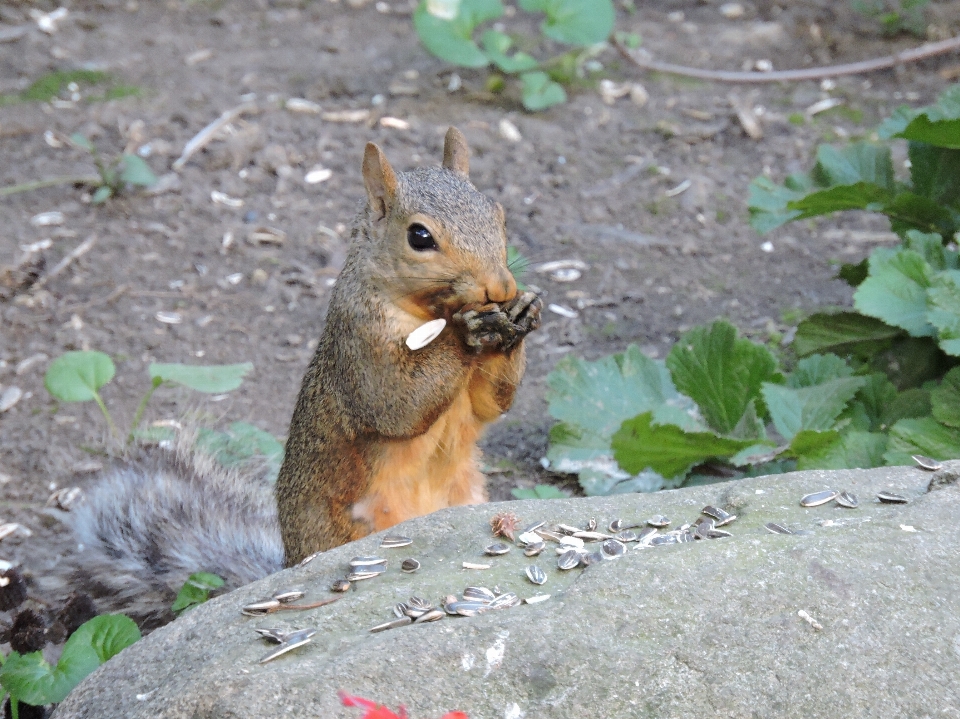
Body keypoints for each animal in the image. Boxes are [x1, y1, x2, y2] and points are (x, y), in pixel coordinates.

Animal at [58, 129, 540, 632]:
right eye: (419, 236)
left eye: (498, 213)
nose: (501, 289)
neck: (432, 312)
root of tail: (288, 564)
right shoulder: (358, 348)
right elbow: (396, 403)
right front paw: (469, 332)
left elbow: (490, 403)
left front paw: (522, 314)